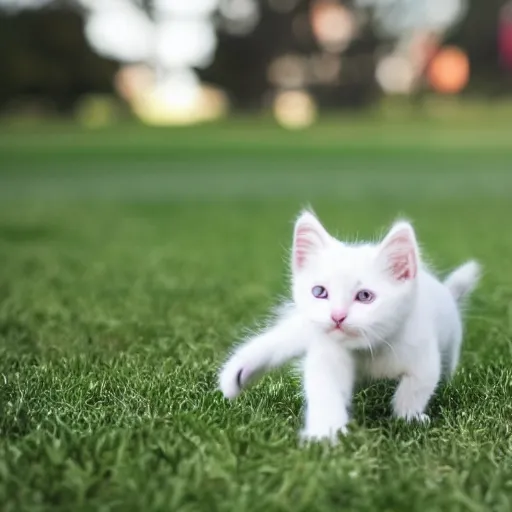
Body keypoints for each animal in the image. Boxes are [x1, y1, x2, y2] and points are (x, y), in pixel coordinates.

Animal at [219, 210, 480, 442]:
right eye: (319, 292)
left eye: (364, 296)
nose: (337, 316)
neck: (370, 349)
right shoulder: (327, 353)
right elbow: (325, 392)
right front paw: (324, 434)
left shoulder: (422, 355)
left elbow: (415, 389)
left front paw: (408, 418)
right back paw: (237, 374)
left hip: (451, 342)